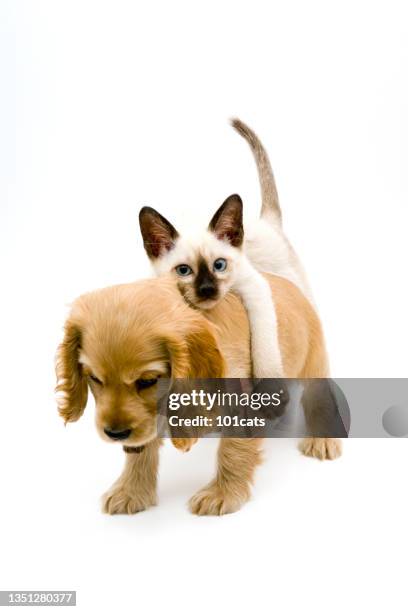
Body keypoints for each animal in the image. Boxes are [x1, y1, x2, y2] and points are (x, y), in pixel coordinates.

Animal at [55, 274, 342, 512]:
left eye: (148, 381)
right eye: (94, 378)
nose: (115, 434)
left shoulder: (239, 405)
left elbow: (233, 450)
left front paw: (222, 494)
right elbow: (142, 449)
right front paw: (131, 491)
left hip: (313, 362)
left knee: (318, 397)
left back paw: (323, 440)